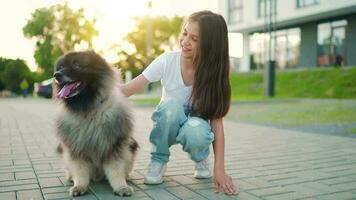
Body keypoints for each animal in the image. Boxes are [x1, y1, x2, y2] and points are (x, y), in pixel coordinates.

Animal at [54, 50, 138, 197]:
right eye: (60, 67)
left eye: (76, 65)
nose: (56, 75)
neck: (89, 110)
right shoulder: (76, 149)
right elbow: (80, 171)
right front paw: (79, 186)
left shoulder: (114, 146)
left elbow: (116, 170)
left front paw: (121, 187)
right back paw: (70, 177)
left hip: (131, 147)